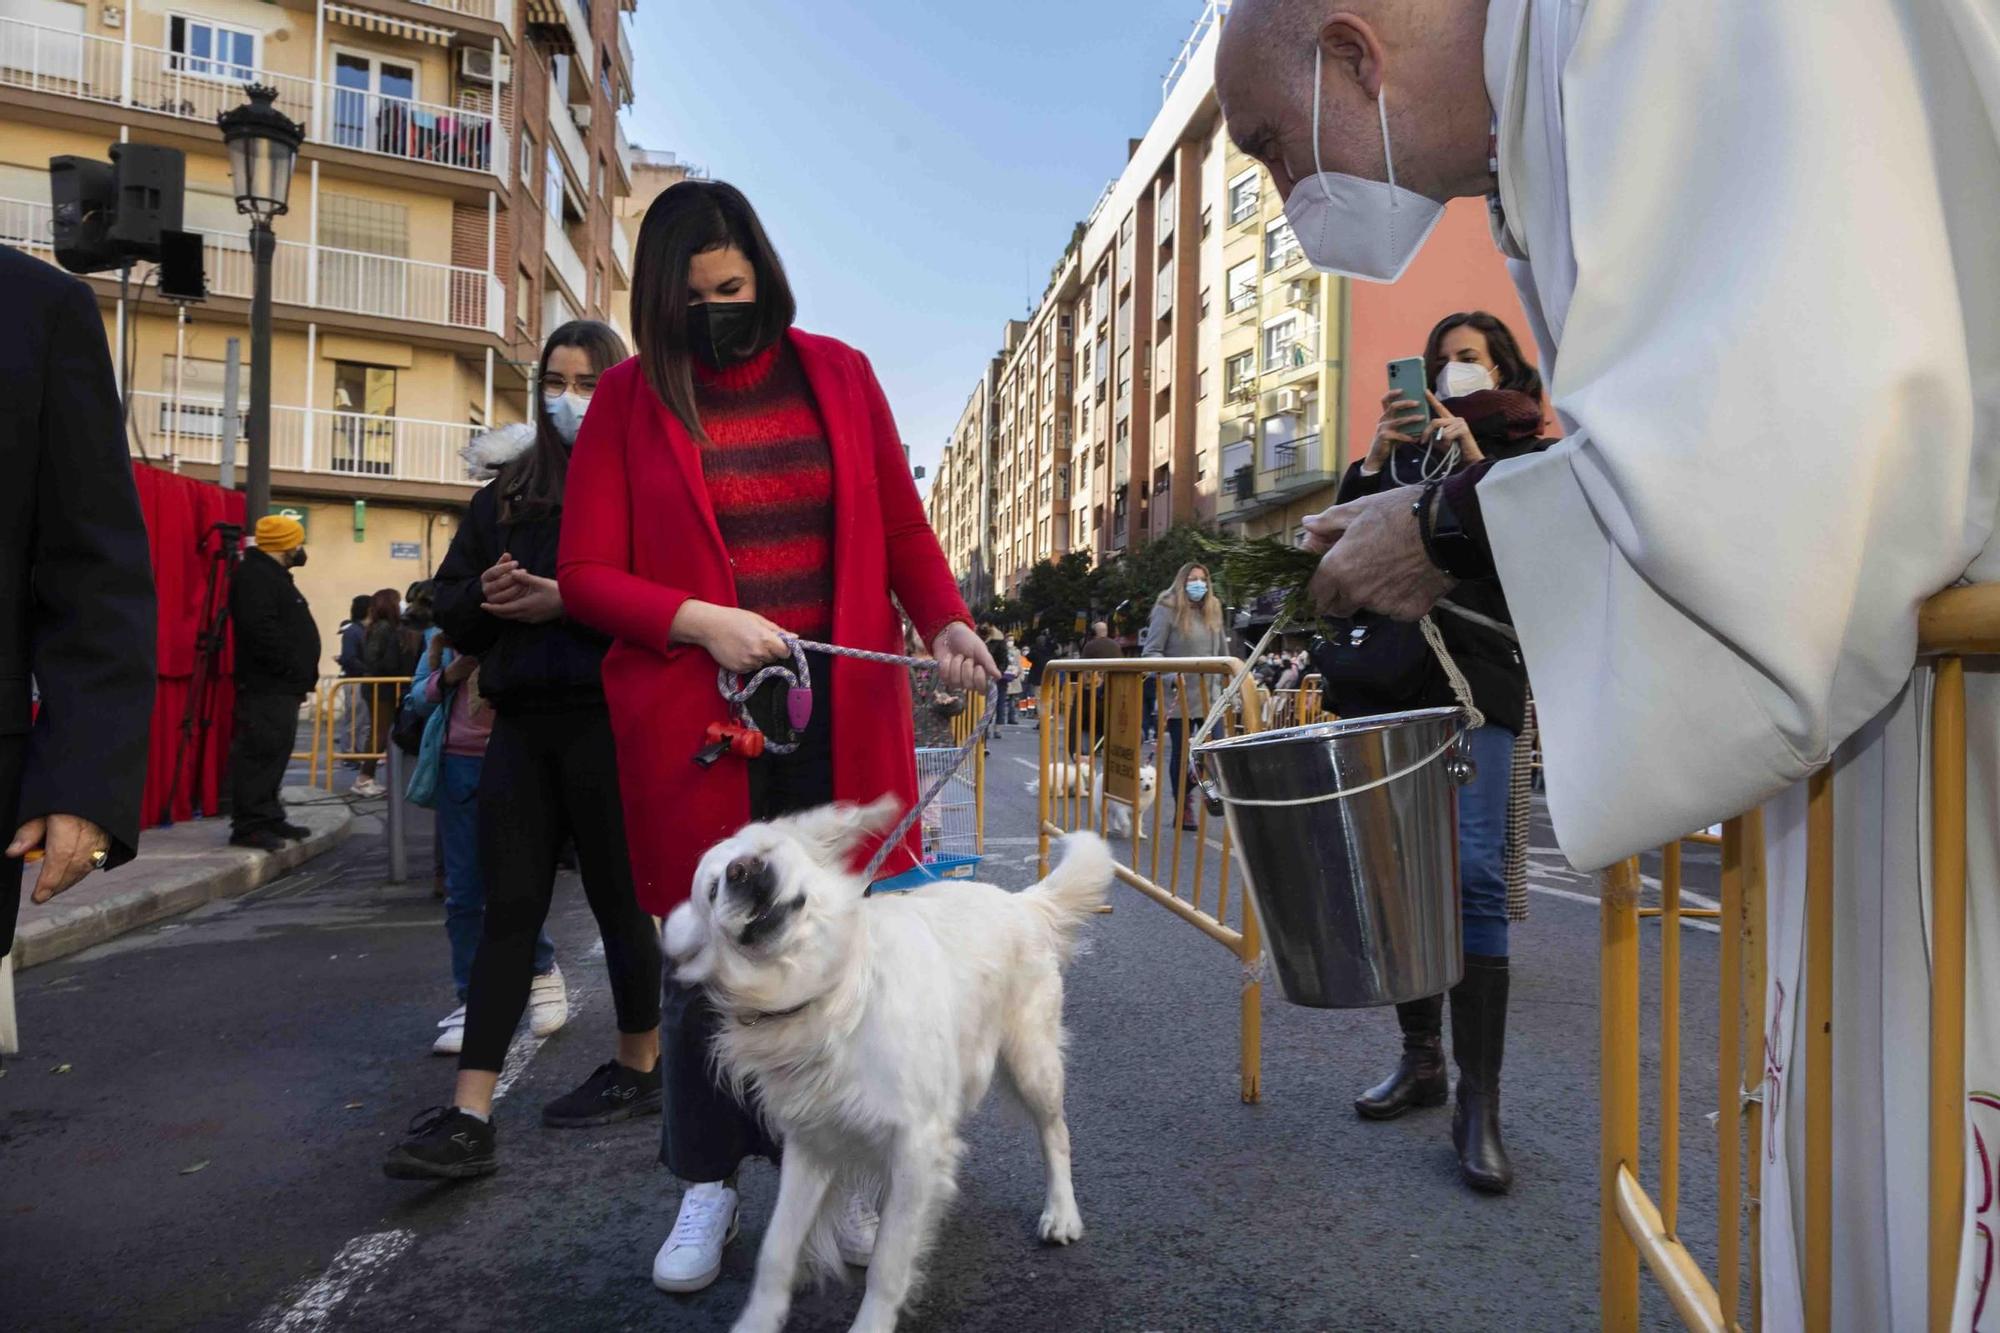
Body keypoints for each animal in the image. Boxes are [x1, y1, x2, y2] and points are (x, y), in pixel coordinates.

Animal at [668, 800, 1112, 1328]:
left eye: (764, 850)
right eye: (713, 888)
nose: (742, 871)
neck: (826, 997)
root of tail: (1023, 903)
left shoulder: (916, 1146)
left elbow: (888, 1262)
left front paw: (870, 1325)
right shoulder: (809, 1142)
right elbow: (776, 1248)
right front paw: (758, 1321)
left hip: (1032, 1063)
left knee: (1056, 1134)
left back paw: (1061, 1214)